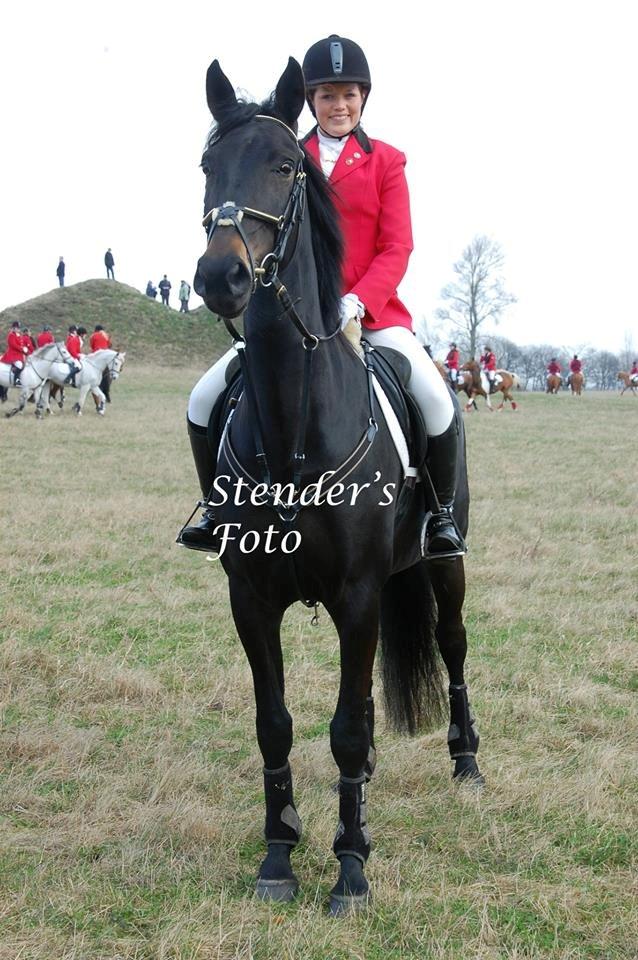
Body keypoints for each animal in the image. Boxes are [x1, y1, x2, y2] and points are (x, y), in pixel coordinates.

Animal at [192, 60, 482, 916]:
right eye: (206, 167)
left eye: (287, 166)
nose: (220, 276)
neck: (294, 419)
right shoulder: (250, 597)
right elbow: (276, 723)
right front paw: (278, 854)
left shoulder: (356, 595)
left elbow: (347, 728)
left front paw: (351, 866)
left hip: (444, 563)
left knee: (454, 645)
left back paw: (467, 762)